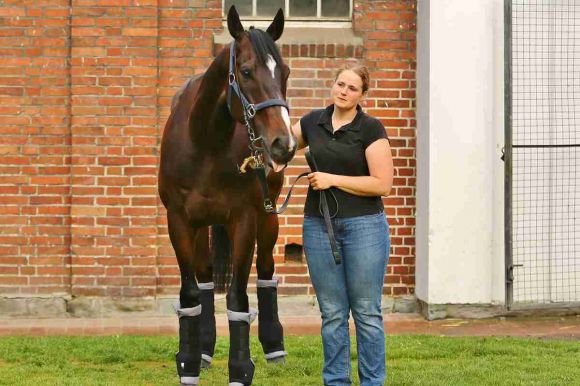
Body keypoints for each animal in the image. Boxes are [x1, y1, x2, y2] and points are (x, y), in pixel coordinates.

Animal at [157, 6, 296, 386]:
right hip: (202, 225)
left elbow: (237, 297)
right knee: (205, 279)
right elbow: (190, 292)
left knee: (266, 270)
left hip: (267, 217)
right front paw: (188, 362)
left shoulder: (244, 220)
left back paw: (274, 346)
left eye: (285, 72)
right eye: (246, 72)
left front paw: (240, 368)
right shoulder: (179, 220)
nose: (284, 144)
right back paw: (204, 349)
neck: (204, 142)